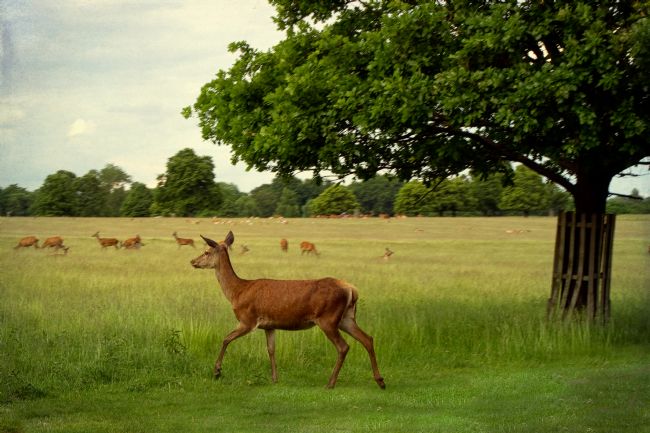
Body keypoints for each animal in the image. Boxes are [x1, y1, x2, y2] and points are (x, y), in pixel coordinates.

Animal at [191, 232, 385, 390]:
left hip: (328, 318)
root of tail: (351, 289)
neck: (237, 291)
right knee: (367, 338)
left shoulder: (248, 320)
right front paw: (275, 378)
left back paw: (330, 383)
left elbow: (226, 339)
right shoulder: (269, 325)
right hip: (346, 317)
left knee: (344, 346)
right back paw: (380, 380)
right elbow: (271, 349)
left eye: (206, 252)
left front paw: (217, 371)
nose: (192, 261)